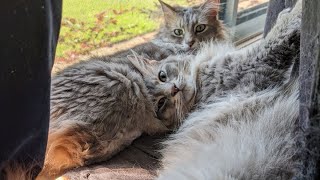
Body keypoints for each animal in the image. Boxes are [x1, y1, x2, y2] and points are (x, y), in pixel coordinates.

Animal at [159, 0, 306, 179]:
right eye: (161, 104)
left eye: (162, 76)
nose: (173, 90)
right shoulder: (250, 64)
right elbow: (277, 35)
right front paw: (299, 10)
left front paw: (283, 14)